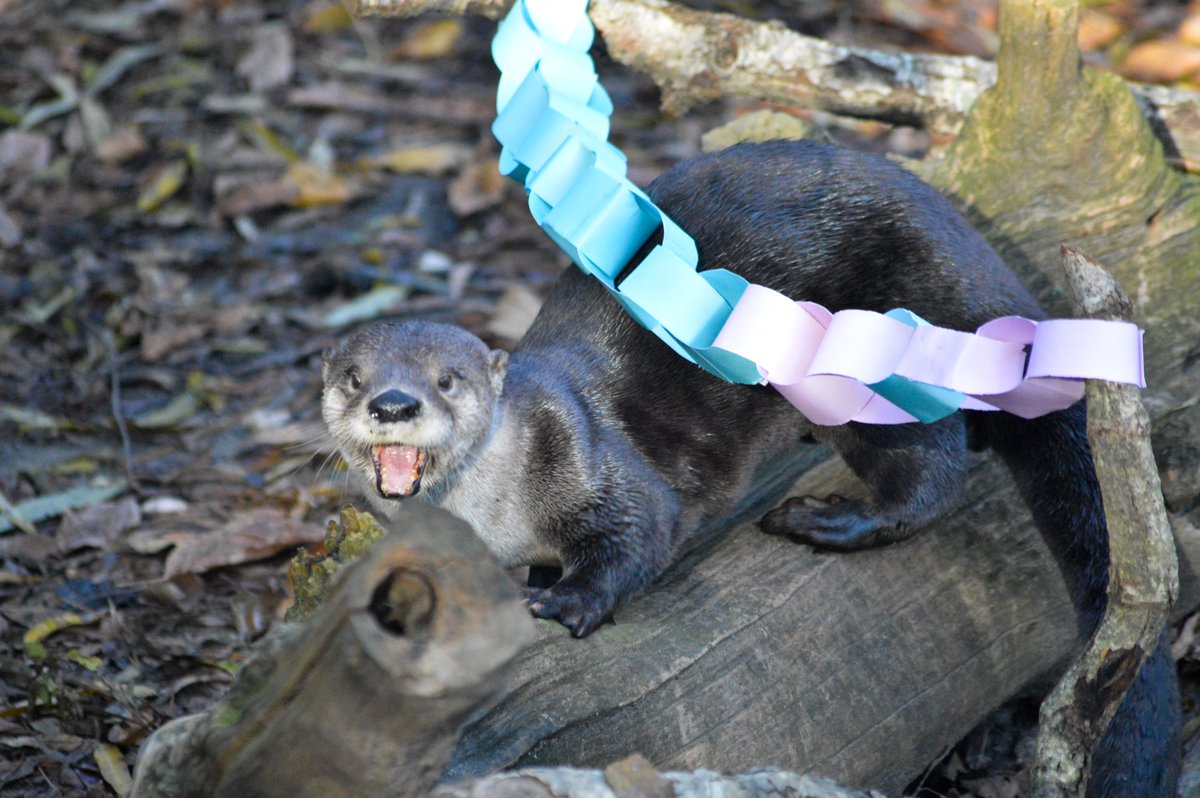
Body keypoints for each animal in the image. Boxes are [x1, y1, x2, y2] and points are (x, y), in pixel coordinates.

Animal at [322, 140, 1178, 796]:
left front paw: (563, 600)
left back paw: (825, 520)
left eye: (448, 379)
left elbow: (637, 535)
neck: (496, 516)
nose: (393, 403)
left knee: (931, 468)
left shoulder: (594, 460)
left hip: (869, 355)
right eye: (352, 378)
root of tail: (984, 278)